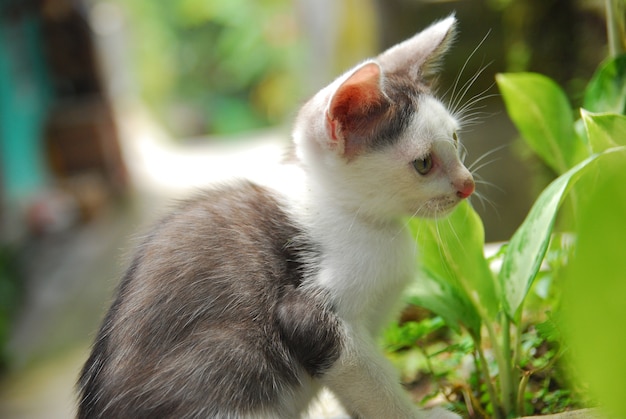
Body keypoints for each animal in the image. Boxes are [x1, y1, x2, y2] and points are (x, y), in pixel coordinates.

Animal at [77, 16, 468, 419]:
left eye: (455, 140)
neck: (352, 214)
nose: (467, 185)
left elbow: (361, 394)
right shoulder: (309, 314)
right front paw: (421, 414)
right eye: (424, 163)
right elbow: (375, 386)